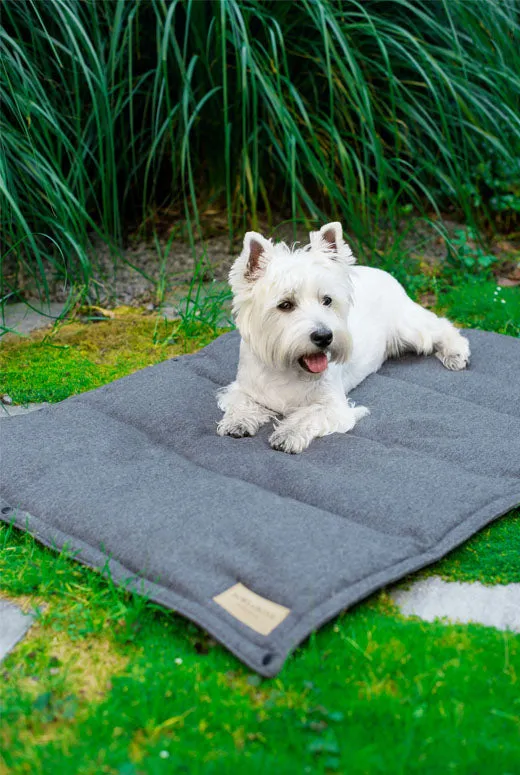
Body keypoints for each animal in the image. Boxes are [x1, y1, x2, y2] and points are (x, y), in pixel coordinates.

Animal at [216, 221, 472, 452]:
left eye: (327, 300)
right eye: (285, 304)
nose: (324, 337)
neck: (289, 369)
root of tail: (380, 270)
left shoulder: (335, 406)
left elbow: (309, 414)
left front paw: (289, 433)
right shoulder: (242, 387)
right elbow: (240, 402)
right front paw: (237, 422)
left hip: (408, 327)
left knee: (440, 326)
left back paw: (456, 353)